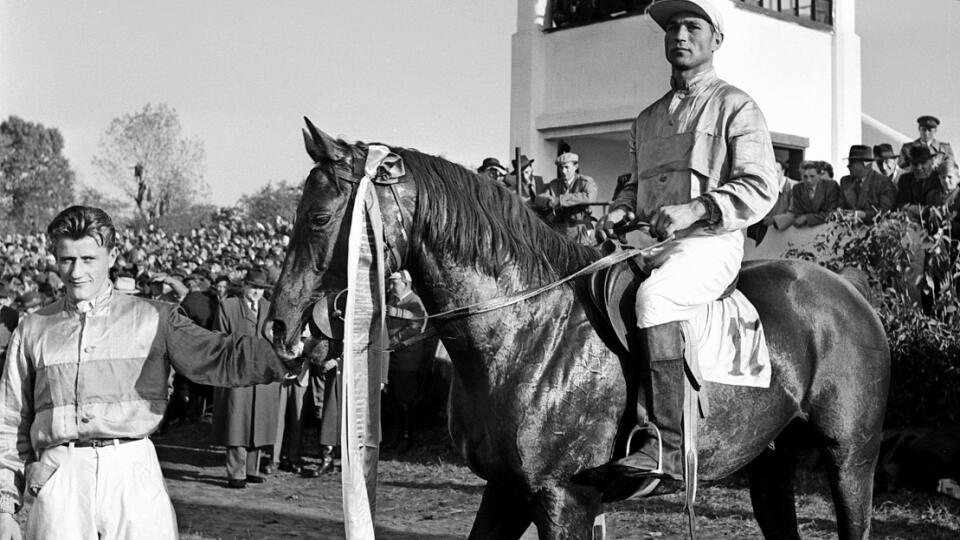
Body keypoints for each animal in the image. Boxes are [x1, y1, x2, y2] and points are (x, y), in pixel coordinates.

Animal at [270, 119, 892, 540]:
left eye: (319, 218)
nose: (281, 326)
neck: (525, 332)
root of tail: (850, 292)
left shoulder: (563, 498)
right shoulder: (506, 491)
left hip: (850, 459)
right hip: (770, 465)